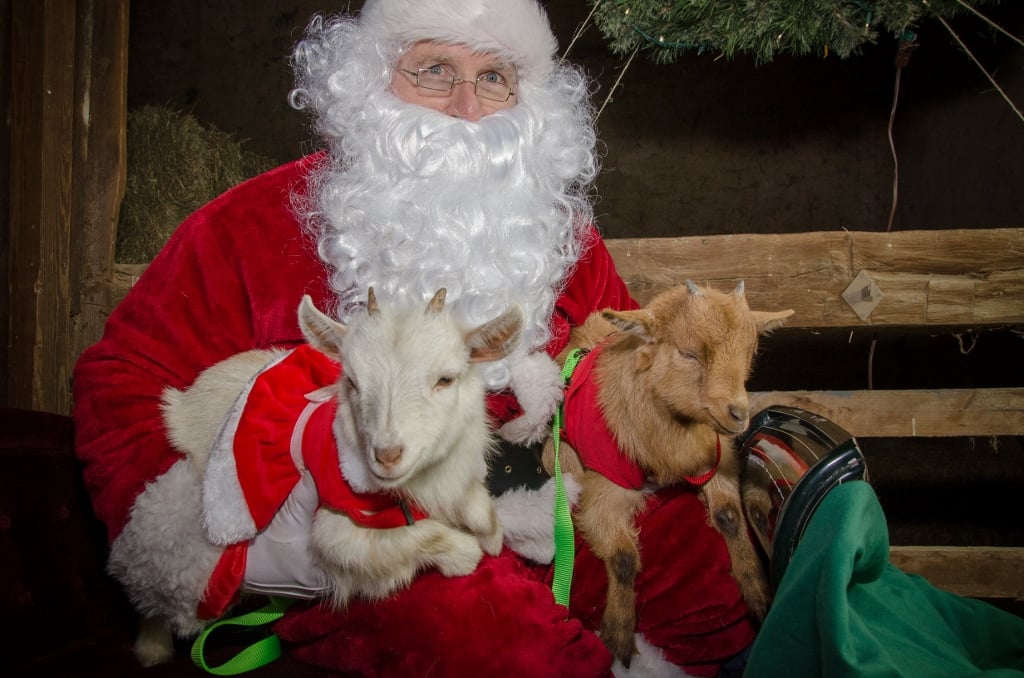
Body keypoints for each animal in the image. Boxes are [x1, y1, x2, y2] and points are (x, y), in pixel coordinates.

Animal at [540, 280, 794, 667]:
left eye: (750, 353)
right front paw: (618, 635)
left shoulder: (714, 458)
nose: (738, 414)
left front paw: (756, 590)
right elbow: (624, 558)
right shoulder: (604, 489)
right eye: (689, 354)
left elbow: (730, 515)